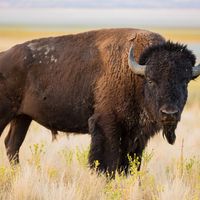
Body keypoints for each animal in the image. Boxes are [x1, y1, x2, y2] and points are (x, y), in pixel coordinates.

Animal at [0, 28, 199, 175]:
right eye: (151, 80)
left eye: (185, 81)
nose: (169, 113)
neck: (135, 75)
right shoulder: (106, 125)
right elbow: (106, 163)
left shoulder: (136, 136)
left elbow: (128, 165)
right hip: (7, 115)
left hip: (22, 118)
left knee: (12, 145)